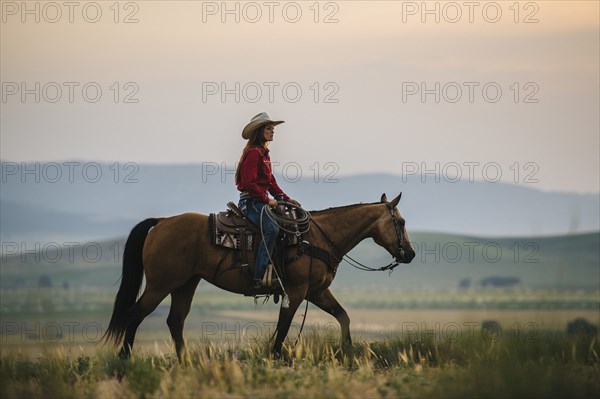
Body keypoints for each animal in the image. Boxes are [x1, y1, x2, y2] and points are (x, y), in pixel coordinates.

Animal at [101, 193, 414, 360]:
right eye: (400, 221)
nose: (410, 254)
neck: (317, 238)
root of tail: (162, 222)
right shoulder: (296, 291)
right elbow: (284, 327)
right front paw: (275, 357)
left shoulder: (317, 291)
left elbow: (343, 316)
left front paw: (347, 352)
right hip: (160, 285)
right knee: (135, 314)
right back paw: (125, 360)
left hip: (185, 284)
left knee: (175, 321)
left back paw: (185, 362)